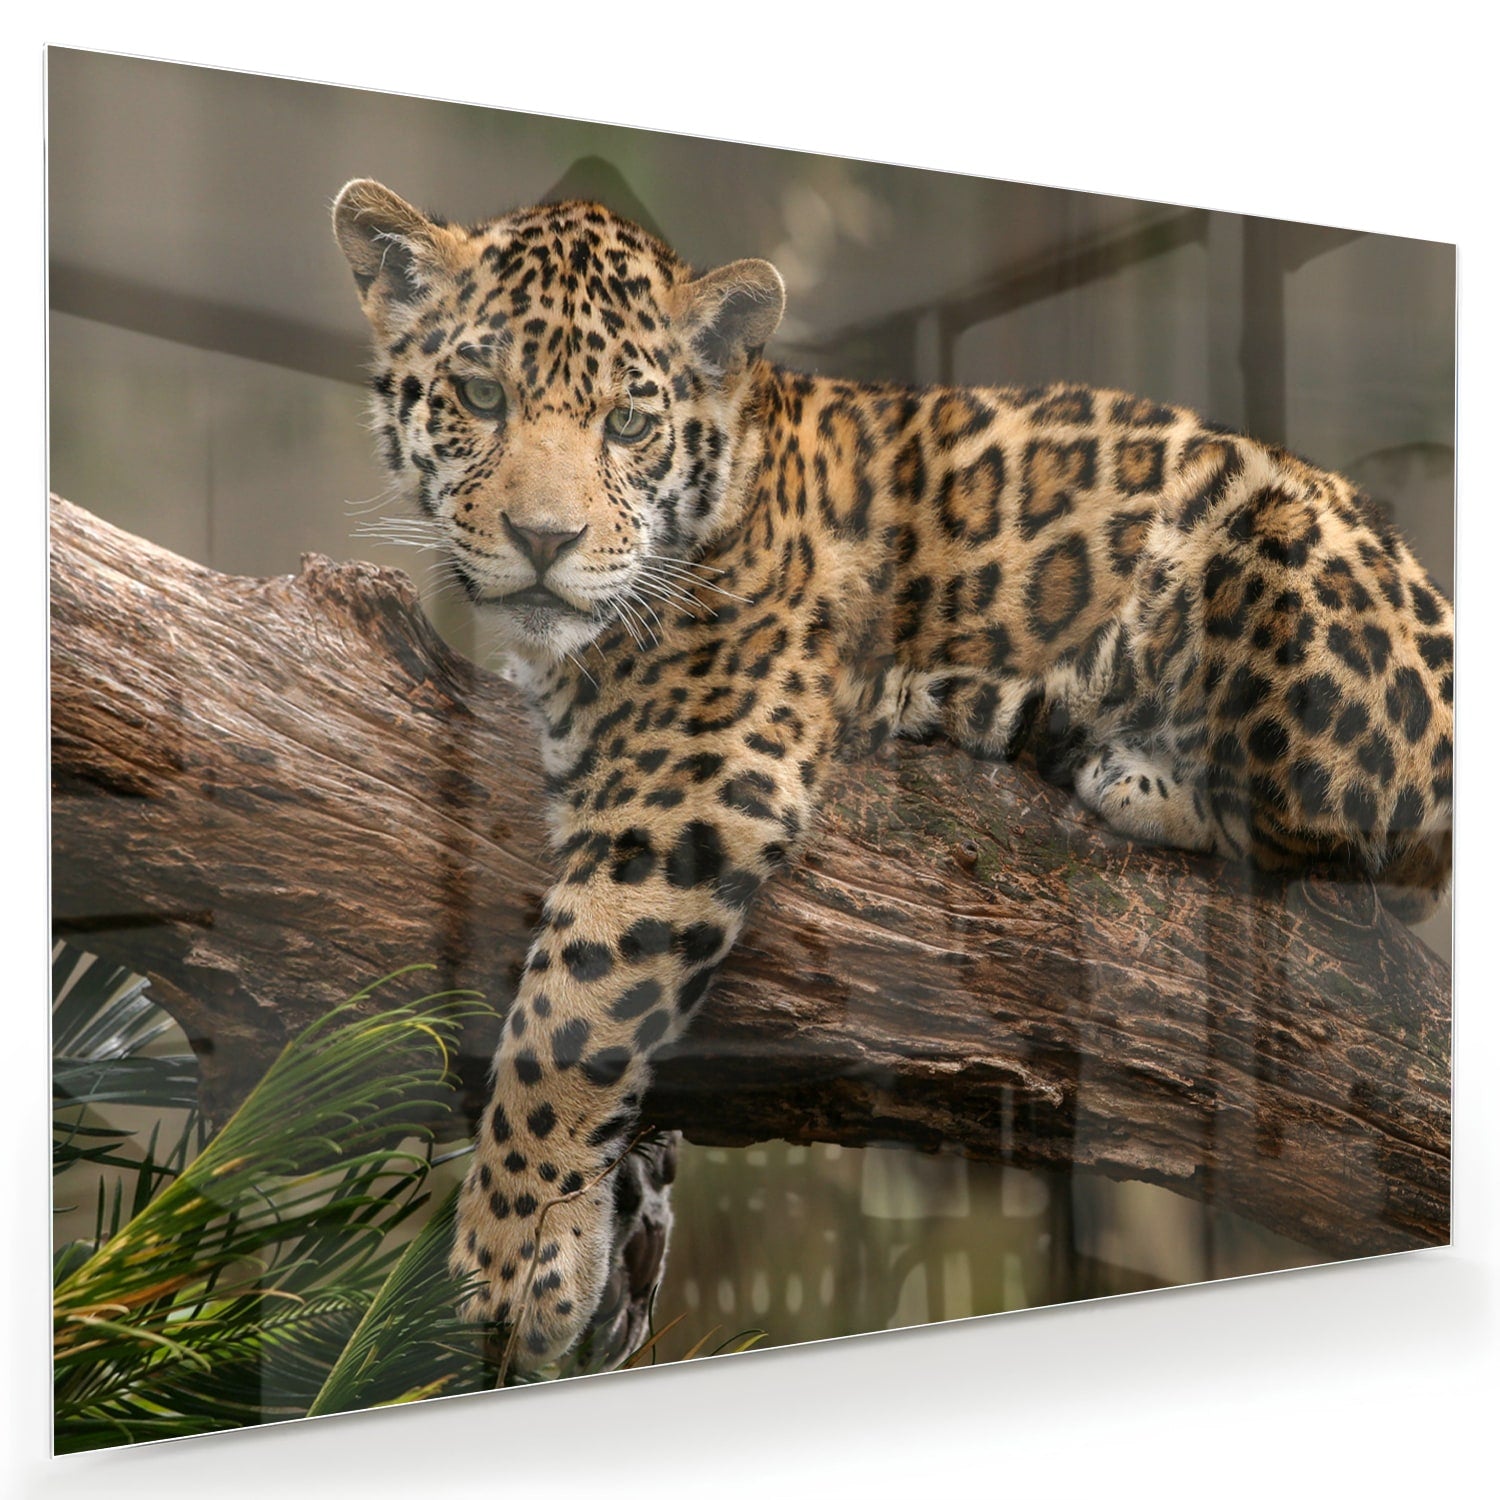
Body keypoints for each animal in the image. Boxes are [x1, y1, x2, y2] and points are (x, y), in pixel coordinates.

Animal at [331, 178, 1454, 1371]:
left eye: (627, 425)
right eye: (481, 395)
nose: (544, 539)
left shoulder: (696, 781)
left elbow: (572, 1013)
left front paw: (514, 1251)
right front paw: (624, 1221)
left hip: (1264, 527)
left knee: (1330, 827)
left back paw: (1101, 754)